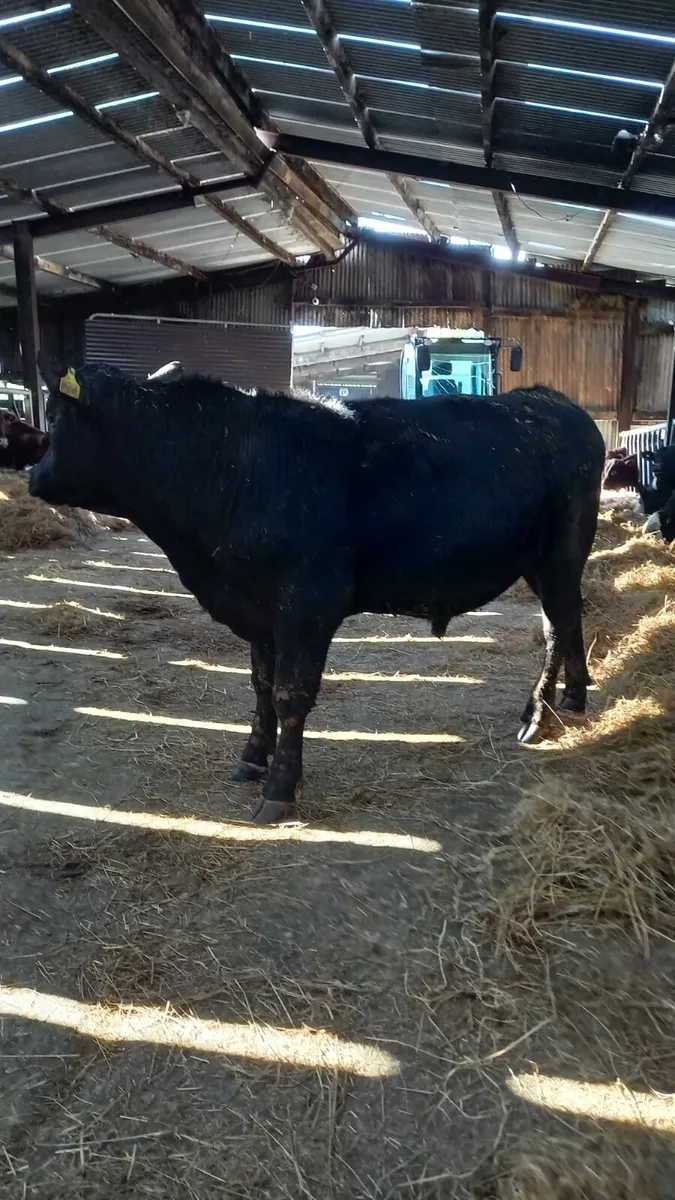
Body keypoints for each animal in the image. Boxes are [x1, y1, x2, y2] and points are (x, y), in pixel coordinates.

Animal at [31, 358, 605, 824]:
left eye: (55, 420)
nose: (32, 475)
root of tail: (551, 399)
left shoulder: (308, 604)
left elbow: (290, 695)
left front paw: (280, 788)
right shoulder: (259, 610)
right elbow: (261, 686)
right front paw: (251, 759)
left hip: (560, 553)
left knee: (559, 626)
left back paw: (539, 717)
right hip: (540, 562)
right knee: (568, 620)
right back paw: (569, 700)